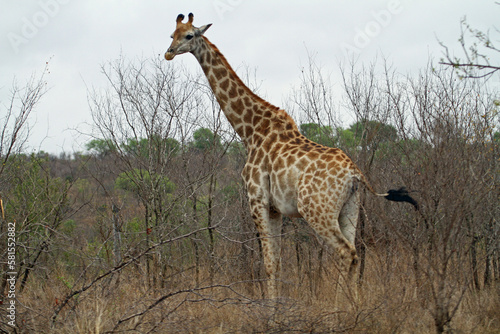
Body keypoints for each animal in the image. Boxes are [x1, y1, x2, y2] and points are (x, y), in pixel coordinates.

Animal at [165, 13, 418, 298]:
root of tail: (356, 174)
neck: (250, 130)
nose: (168, 53)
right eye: (171, 34)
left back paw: (338, 306)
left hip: (317, 210)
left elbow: (269, 263)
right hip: (351, 208)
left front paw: (271, 309)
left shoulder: (258, 200)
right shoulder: (276, 208)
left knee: (345, 253)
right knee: (355, 253)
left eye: (189, 35)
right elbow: (278, 262)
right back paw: (355, 305)